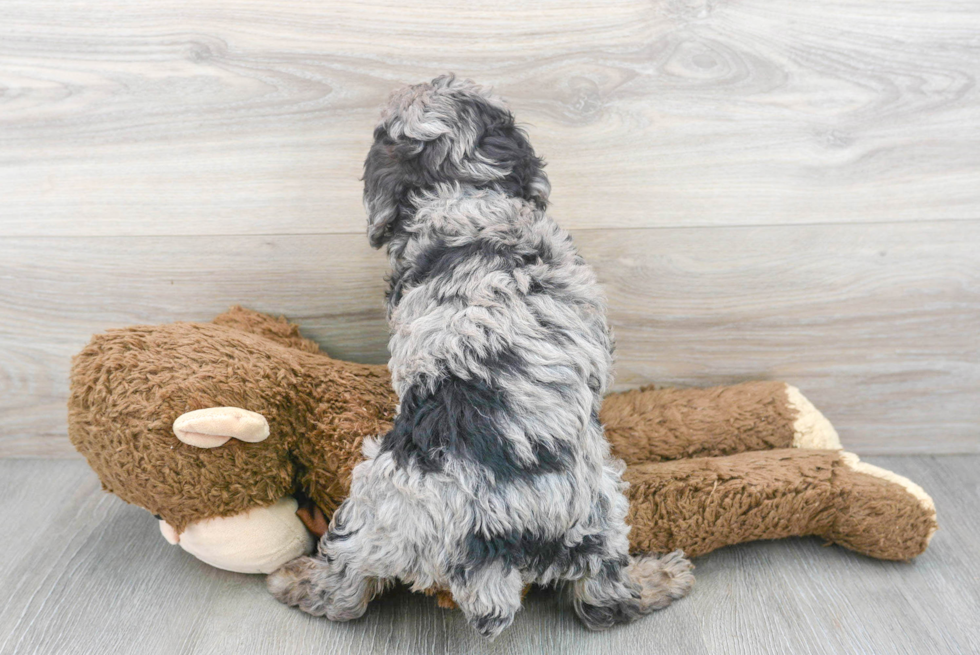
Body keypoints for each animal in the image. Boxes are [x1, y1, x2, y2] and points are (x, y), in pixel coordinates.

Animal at [268, 74, 696, 640]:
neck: (459, 193)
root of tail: (476, 538)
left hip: (369, 513)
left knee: (346, 592)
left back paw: (292, 580)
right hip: (599, 511)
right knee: (603, 602)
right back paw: (662, 578)